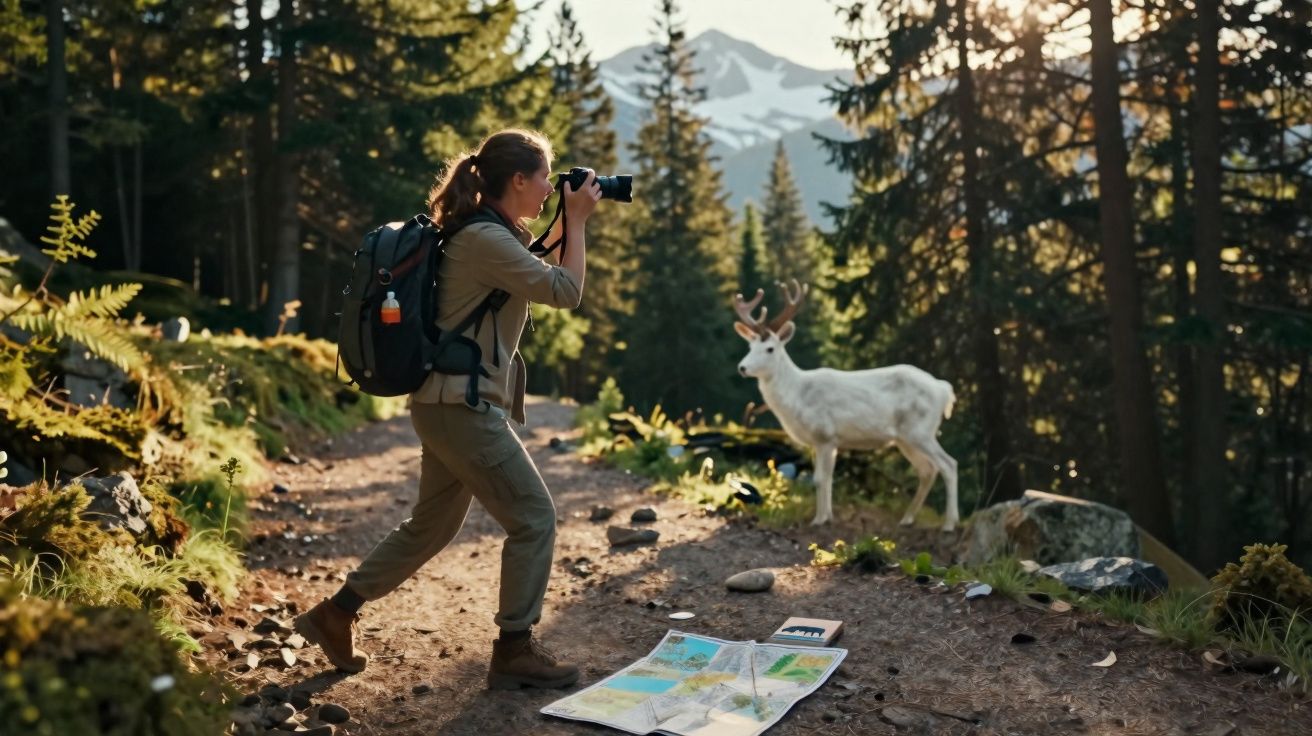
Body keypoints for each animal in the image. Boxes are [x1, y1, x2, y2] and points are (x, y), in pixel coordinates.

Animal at [733, 280, 960, 531]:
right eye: (749, 346)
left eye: (770, 348)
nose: (742, 367)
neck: (797, 397)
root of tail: (944, 390)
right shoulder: (824, 442)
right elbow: (827, 479)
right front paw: (828, 516)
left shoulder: (824, 434)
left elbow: (819, 479)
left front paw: (818, 520)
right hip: (905, 438)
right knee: (927, 470)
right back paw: (907, 519)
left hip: (921, 430)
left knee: (949, 464)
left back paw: (949, 523)